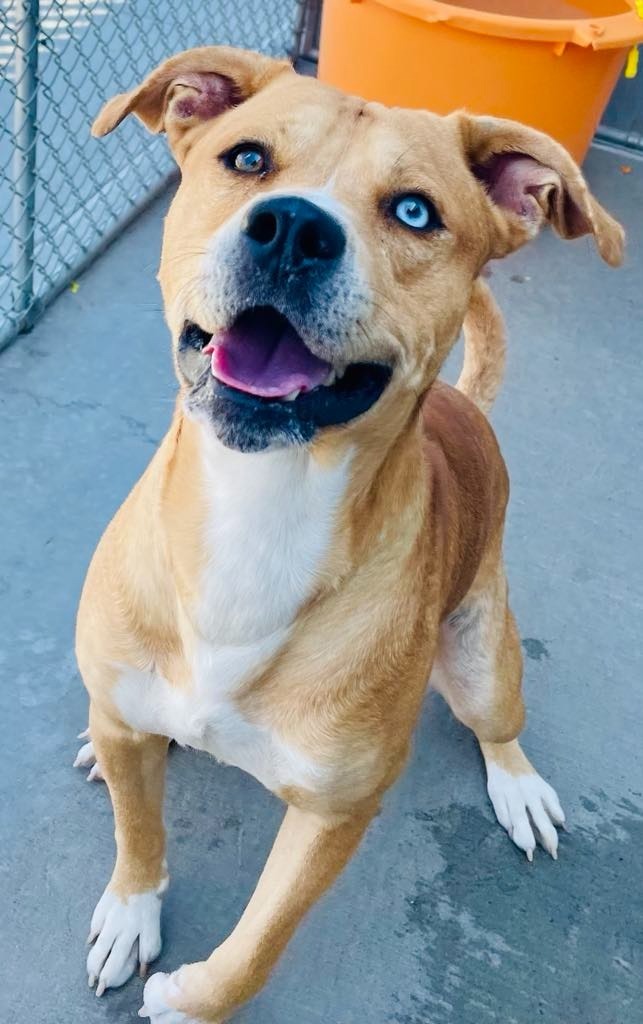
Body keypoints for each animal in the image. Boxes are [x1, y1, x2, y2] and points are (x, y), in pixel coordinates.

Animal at [74, 48, 622, 1024]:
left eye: (414, 212)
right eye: (248, 159)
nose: (291, 228)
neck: (259, 507)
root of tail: (467, 411)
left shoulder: (333, 816)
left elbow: (255, 950)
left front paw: (189, 1000)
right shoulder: (130, 722)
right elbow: (138, 836)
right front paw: (130, 913)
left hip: (486, 664)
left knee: (498, 724)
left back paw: (518, 785)